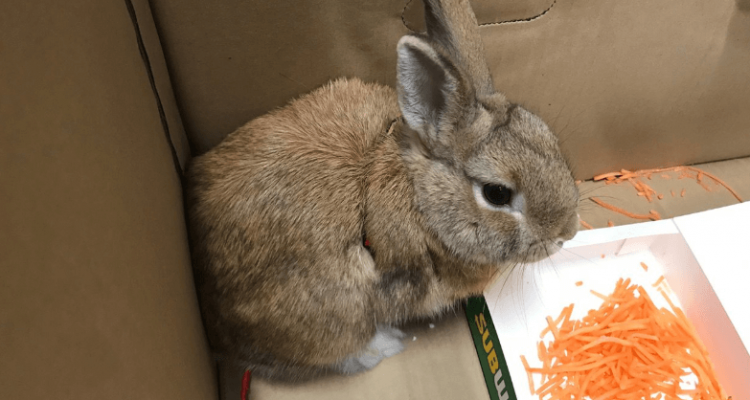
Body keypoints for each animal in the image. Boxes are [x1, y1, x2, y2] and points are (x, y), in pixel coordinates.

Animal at [185, 0, 579, 382]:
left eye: (549, 139)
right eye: (497, 193)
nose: (567, 233)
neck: (420, 199)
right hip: (326, 314)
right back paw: (383, 345)